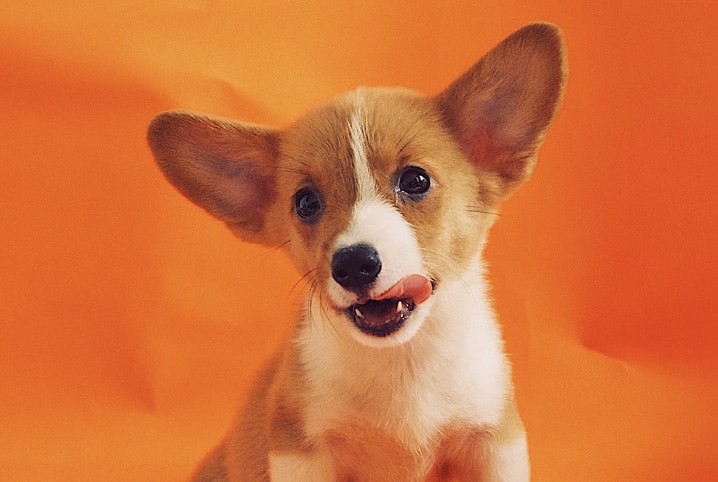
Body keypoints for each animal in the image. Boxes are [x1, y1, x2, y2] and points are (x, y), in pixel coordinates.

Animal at [149, 22, 568, 482]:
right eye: (306, 203)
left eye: (416, 180)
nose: (353, 265)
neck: (402, 362)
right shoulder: (300, 450)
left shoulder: (494, 439)